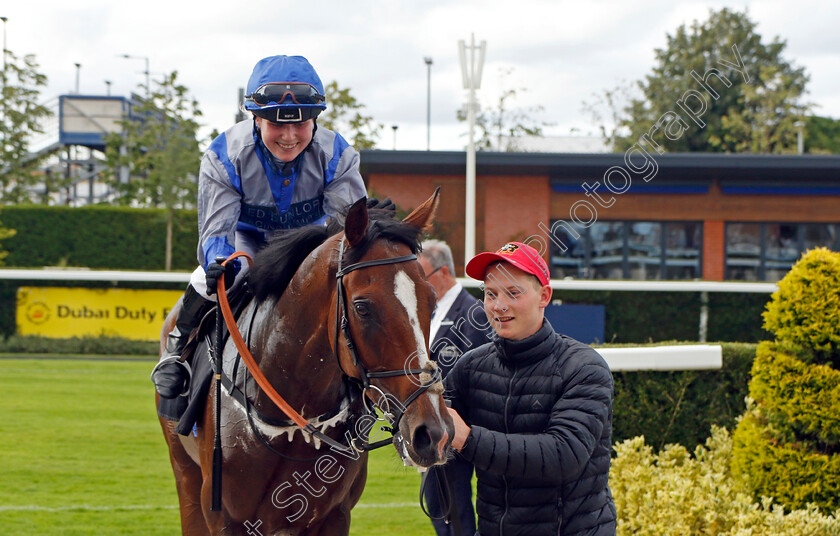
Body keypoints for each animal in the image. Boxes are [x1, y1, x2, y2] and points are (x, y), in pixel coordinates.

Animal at [153, 193, 450, 536]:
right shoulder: (224, 515)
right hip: (185, 473)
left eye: (432, 300)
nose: (433, 431)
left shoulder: (332, 515)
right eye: (362, 307)